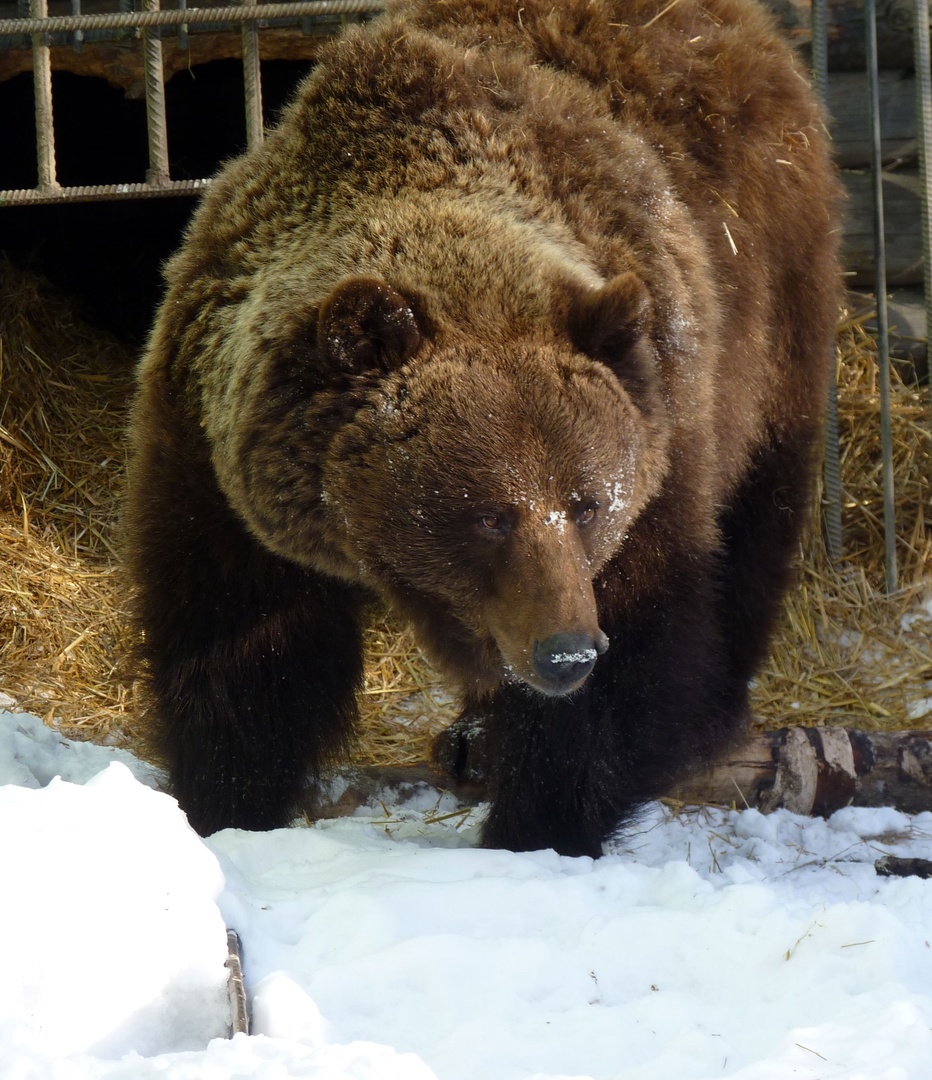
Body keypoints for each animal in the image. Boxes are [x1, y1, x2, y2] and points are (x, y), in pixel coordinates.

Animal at [122, 0, 838, 859]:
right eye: (489, 515)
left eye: (588, 503)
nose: (567, 651)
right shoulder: (216, 458)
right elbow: (239, 646)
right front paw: (227, 807)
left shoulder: (662, 436)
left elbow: (636, 639)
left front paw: (536, 825)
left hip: (768, 301)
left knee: (755, 517)